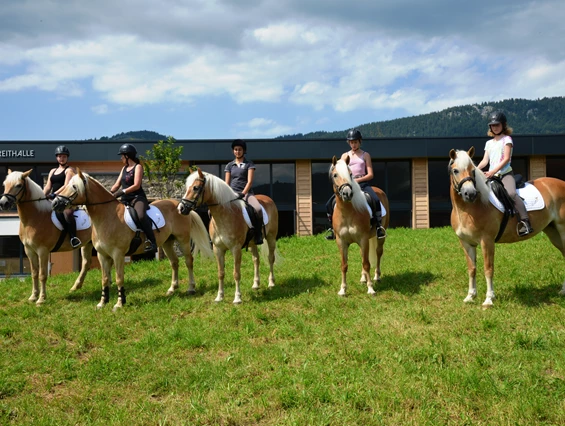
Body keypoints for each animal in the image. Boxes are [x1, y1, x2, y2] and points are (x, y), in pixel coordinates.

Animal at [0, 168, 93, 304]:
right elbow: (34, 273)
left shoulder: (42, 251)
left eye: (18, 185)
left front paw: (41, 299)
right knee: (86, 263)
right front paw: (33, 296)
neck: (35, 217)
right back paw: (76, 287)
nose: (3, 203)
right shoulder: (29, 251)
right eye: (4, 184)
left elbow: (42, 275)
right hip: (87, 243)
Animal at [51, 168, 214, 312]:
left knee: (188, 261)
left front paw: (119, 304)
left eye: (74, 186)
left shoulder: (118, 254)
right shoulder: (102, 255)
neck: (107, 217)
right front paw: (102, 303)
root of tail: (180, 206)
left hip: (183, 240)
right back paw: (172, 289)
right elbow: (104, 279)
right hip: (167, 242)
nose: (55, 203)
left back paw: (191, 288)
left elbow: (119, 278)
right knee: (174, 262)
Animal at [176, 168, 278, 304]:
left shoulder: (236, 249)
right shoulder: (218, 249)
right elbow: (221, 273)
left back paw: (271, 283)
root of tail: (268, 199)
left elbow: (236, 273)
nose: (181, 209)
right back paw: (256, 284)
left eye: (196, 188)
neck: (225, 215)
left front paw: (237, 298)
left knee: (271, 258)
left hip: (271, 238)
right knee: (256, 260)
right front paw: (219, 297)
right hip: (253, 243)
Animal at [328, 156, 390, 296]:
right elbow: (344, 265)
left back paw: (377, 276)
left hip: (380, 237)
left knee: (378, 253)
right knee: (363, 255)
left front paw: (371, 288)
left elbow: (367, 263)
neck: (347, 212)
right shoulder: (341, 241)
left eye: (350, 174)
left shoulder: (363, 238)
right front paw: (342, 290)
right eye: (335, 175)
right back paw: (363, 278)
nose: (347, 194)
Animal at [452, 146, 565, 306]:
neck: (469, 208)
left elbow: (488, 268)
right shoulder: (466, 243)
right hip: (553, 232)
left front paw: (489, 299)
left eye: (472, 170)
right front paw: (470, 296)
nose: (470, 193)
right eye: (455, 170)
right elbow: (472, 269)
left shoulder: (487, 241)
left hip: (562, 229)